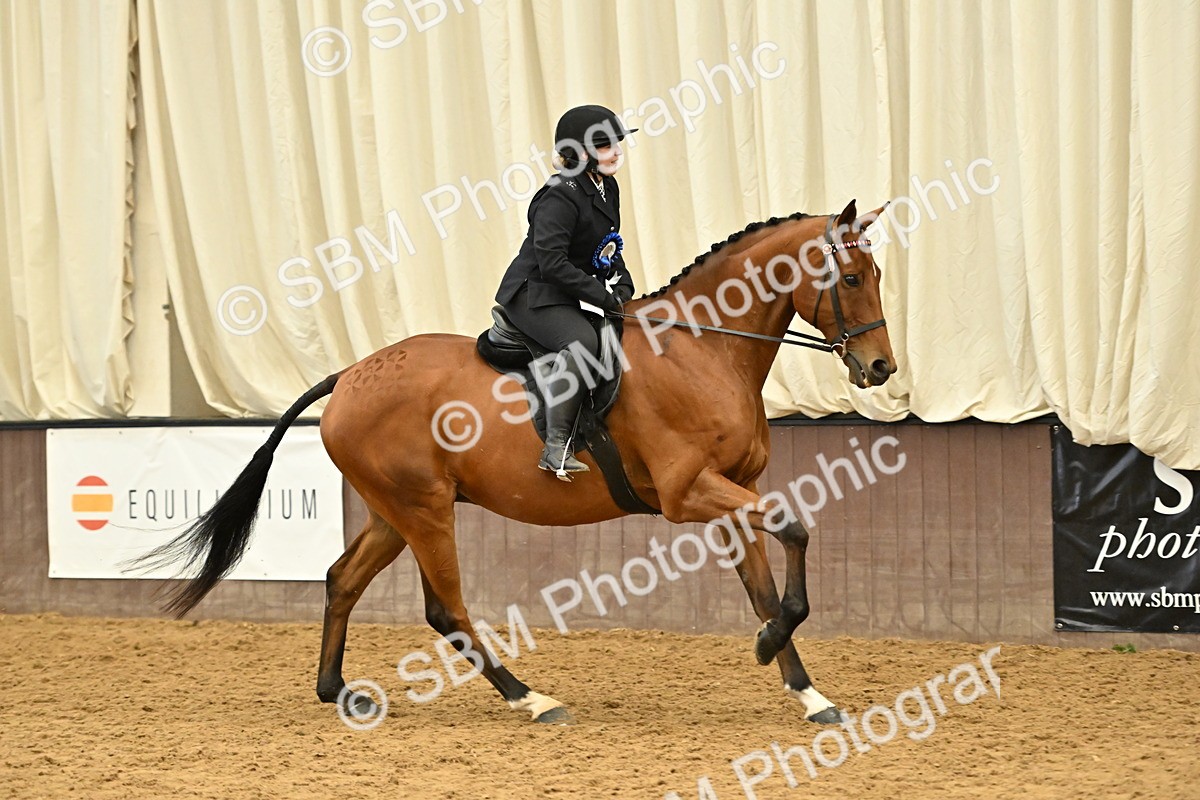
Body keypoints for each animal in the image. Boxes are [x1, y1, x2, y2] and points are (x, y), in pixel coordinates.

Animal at [139, 199, 896, 726]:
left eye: (877, 275)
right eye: (851, 276)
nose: (881, 368)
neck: (701, 350)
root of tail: (350, 374)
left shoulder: (734, 491)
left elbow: (765, 588)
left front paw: (806, 690)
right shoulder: (691, 493)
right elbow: (796, 529)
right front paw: (770, 646)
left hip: (394, 511)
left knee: (342, 580)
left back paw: (337, 692)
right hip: (422, 510)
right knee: (446, 609)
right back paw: (529, 698)